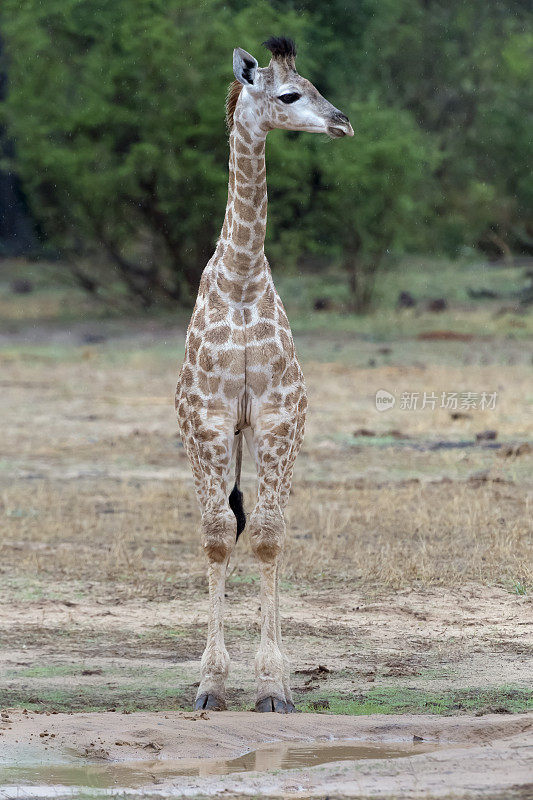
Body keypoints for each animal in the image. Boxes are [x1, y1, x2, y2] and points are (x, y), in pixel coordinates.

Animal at [176, 36, 354, 712]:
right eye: (289, 94)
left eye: (315, 85)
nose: (341, 122)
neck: (243, 279)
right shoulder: (208, 419)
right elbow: (217, 534)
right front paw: (210, 683)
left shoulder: (279, 417)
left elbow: (271, 535)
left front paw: (275, 684)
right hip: (225, 436)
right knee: (227, 526)